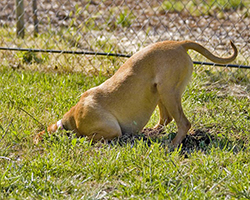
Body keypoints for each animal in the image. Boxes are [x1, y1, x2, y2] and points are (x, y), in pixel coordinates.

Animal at [34, 40, 237, 145]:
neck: (72, 119)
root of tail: (179, 43)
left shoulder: (111, 131)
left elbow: (86, 137)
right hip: (161, 92)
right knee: (166, 119)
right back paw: (152, 133)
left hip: (168, 92)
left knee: (183, 123)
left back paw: (172, 145)